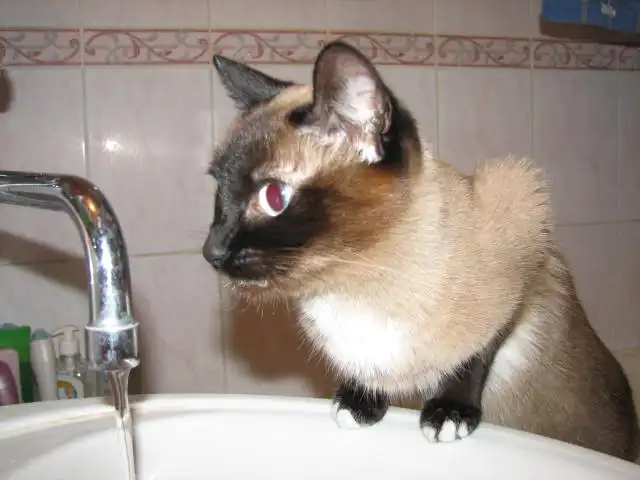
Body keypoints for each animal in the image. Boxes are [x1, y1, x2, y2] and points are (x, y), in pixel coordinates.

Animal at [202, 40, 640, 461]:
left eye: (273, 197)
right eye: (219, 189)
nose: (212, 251)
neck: (351, 280)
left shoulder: (524, 257)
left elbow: (475, 353)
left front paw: (449, 413)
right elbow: (368, 373)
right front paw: (361, 402)